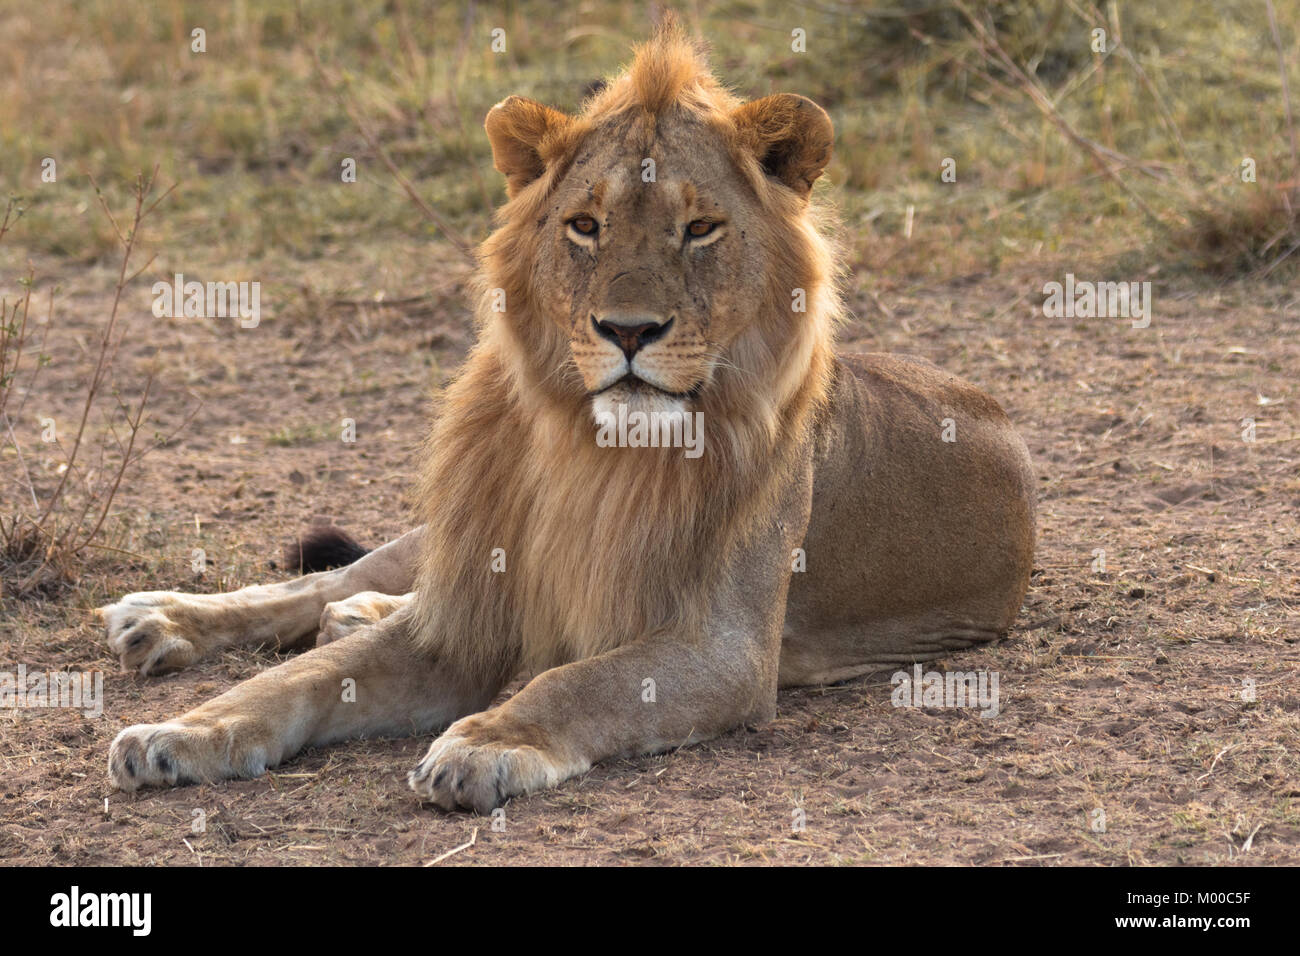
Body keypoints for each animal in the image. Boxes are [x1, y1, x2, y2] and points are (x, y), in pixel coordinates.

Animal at [98, 24, 1034, 816]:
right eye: (585, 225)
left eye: (700, 228)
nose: (628, 330)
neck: (598, 450)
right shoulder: (466, 609)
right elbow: (303, 680)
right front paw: (185, 731)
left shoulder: (723, 649)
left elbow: (577, 683)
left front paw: (485, 742)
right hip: (444, 536)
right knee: (328, 582)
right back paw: (163, 618)